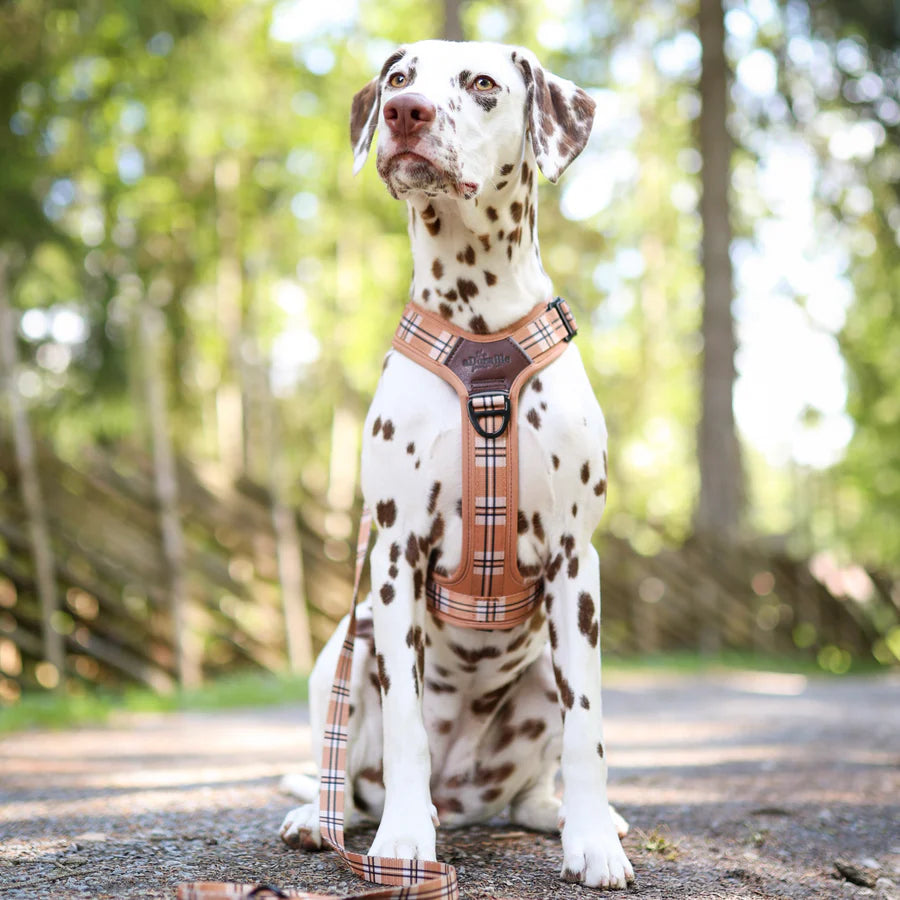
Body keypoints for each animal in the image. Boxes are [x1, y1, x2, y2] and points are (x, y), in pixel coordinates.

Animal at [282, 40, 632, 892]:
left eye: (482, 84)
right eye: (399, 79)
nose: (405, 115)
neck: (481, 342)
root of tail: (463, 797)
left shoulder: (577, 564)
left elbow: (590, 731)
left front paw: (593, 842)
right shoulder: (395, 556)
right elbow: (405, 722)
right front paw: (405, 841)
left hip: (540, 672)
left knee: (535, 779)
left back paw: (566, 815)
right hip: (344, 652)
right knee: (344, 781)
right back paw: (324, 815)